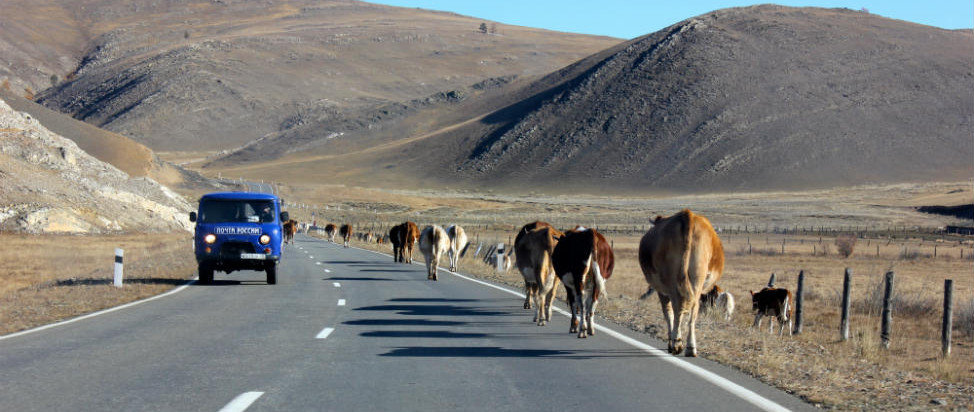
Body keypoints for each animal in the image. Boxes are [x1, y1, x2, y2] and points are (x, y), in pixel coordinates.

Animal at [640, 209, 724, 358]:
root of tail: (687, 215)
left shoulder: (662, 291)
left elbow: (667, 313)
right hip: (696, 280)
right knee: (691, 311)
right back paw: (690, 347)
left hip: (674, 283)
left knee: (677, 309)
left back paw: (676, 343)